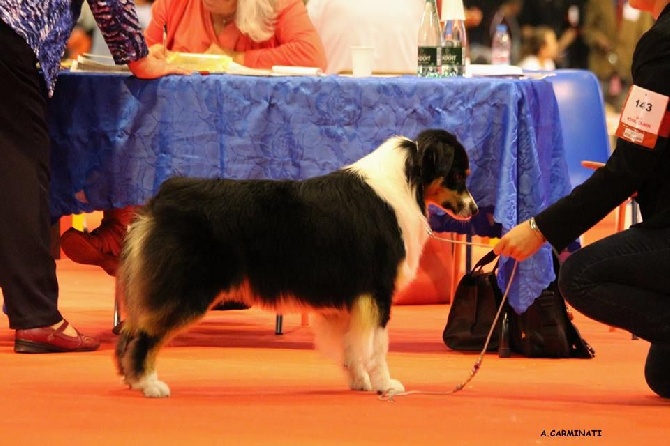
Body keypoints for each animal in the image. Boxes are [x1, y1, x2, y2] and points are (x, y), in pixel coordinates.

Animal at [118, 129, 480, 398]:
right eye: (457, 174)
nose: (475, 209)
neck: (407, 181)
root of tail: (163, 196)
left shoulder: (351, 297)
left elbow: (352, 344)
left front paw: (359, 382)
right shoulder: (377, 290)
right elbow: (378, 345)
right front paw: (385, 385)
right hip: (187, 286)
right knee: (147, 333)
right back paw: (149, 384)